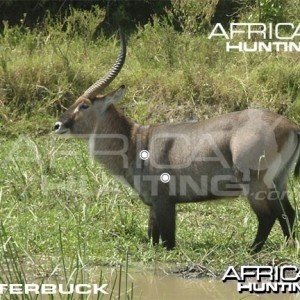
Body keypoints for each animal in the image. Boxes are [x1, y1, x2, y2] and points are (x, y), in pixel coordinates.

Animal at [55, 29, 300, 253]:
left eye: (84, 105)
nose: (57, 125)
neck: (135, 141)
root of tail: (290, 126)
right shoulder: (153, 204)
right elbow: (153, 236)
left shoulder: (164, 202)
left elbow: (167, 242)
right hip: (278, 182)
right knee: (287, 213)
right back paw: (288, 247)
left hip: (255, 184)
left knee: (268, 216)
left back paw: (252, 251)